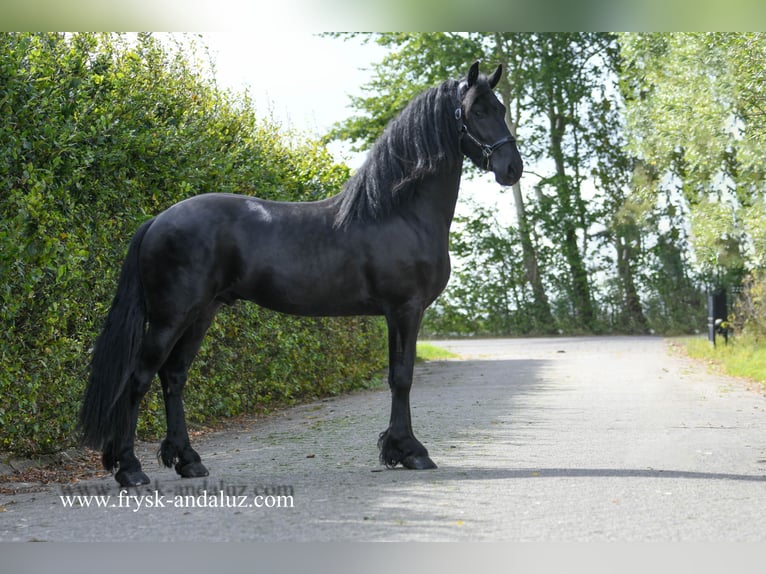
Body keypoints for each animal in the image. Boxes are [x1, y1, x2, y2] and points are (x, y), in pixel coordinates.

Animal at [79, 61, 523, 487]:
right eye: (476, 111)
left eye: (501, 108)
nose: (512, 168)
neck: (397, 213)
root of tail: (157, 220)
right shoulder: (404, 309)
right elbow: (402, 377)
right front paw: (410, 452)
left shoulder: (399, 312)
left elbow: (399, 377)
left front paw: (398, 450)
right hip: (170, 317)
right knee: (138, 379)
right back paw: (130, 468)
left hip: (201, 313)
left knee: (173, 377)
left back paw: (188, 461)